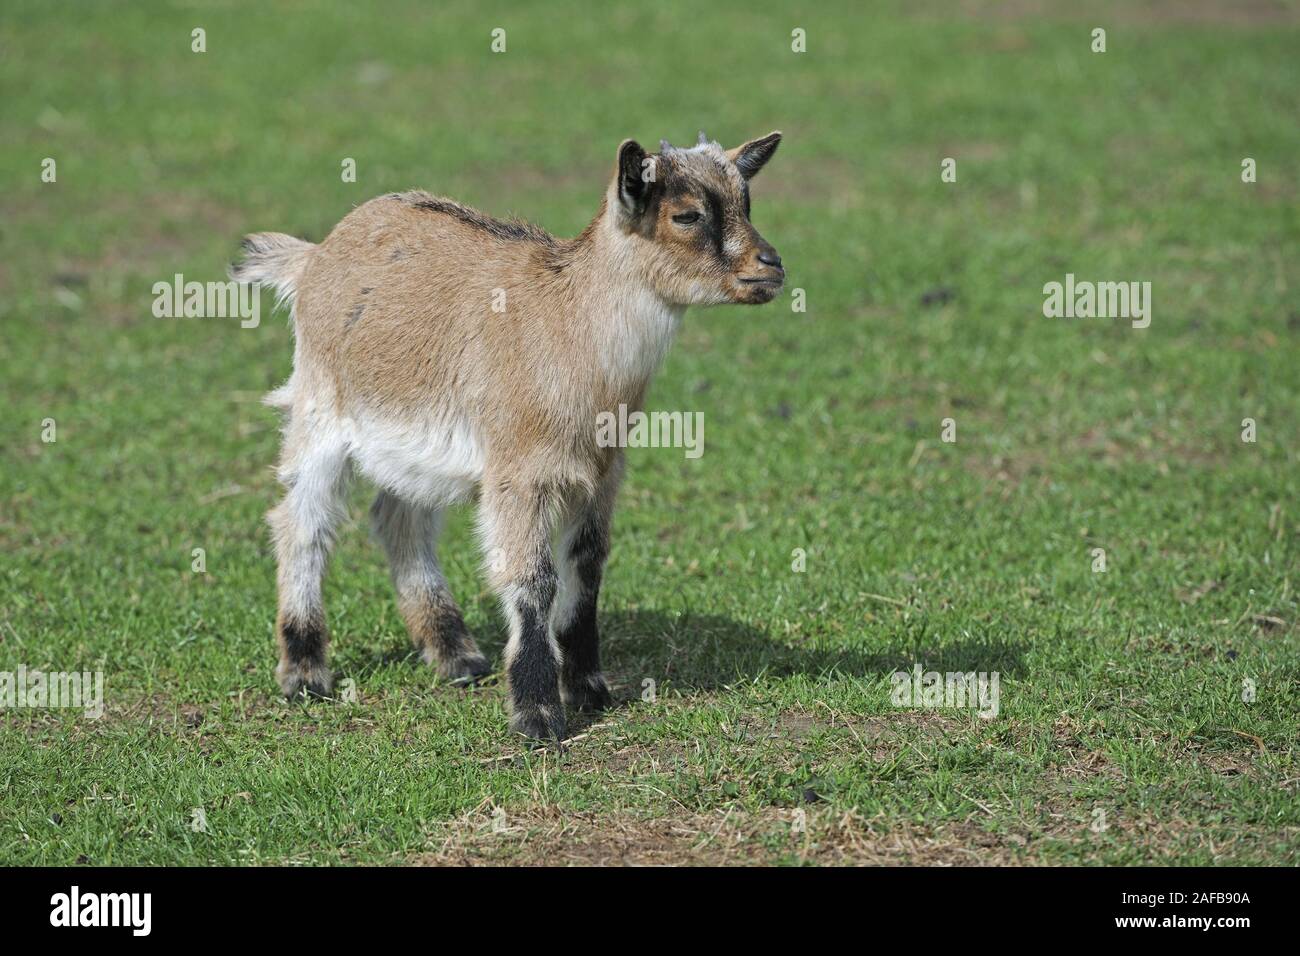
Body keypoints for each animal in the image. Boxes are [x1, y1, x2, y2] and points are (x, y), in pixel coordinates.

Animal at [232, 130, 780, 738]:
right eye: (686, 215)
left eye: (746, 203)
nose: (771, 266)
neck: (569, 327)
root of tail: (313, 257)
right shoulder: (520, 475)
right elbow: (532, 579)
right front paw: (537, 716)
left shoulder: (602, 474)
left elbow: (587, 568)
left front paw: (589, 691)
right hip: (320, 408)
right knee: (302, 522)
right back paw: (305, 673)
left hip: (415, 446)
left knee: (399, 519)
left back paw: (456, 656)